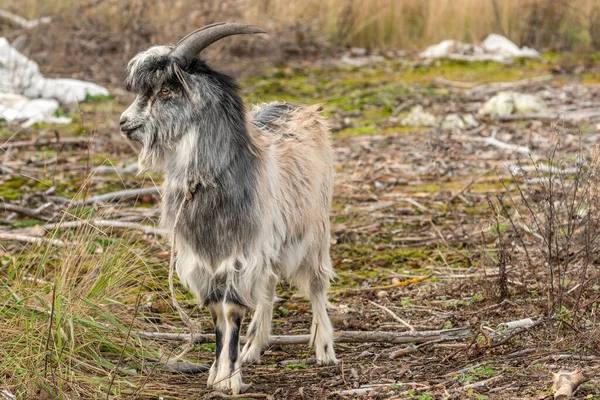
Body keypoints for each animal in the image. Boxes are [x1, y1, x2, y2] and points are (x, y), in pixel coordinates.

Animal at [120, 22, 338, 394]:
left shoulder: (241, 255)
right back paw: (254, 347)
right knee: (268, 287)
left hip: (314, 231)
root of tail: (299, 108)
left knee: (316, 286)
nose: (124, 122)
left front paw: (230, 379)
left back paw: (324, 349)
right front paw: (216, 374)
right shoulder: (206, 260)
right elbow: (217, 314)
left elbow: (232, 310)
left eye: (166, 91)